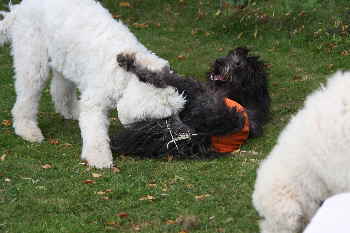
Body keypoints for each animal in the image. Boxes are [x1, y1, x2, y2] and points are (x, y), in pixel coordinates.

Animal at [0, 0, 186, 167]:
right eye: (161, 120)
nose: (181, 136)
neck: (127, 71)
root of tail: (19, 8)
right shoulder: (95, 102)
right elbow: (95, 132)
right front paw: (99, 158)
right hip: (33, 61)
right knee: (26, 98)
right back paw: (27, 129)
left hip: (64, 59)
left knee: (60, 90)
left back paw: (72, 111)